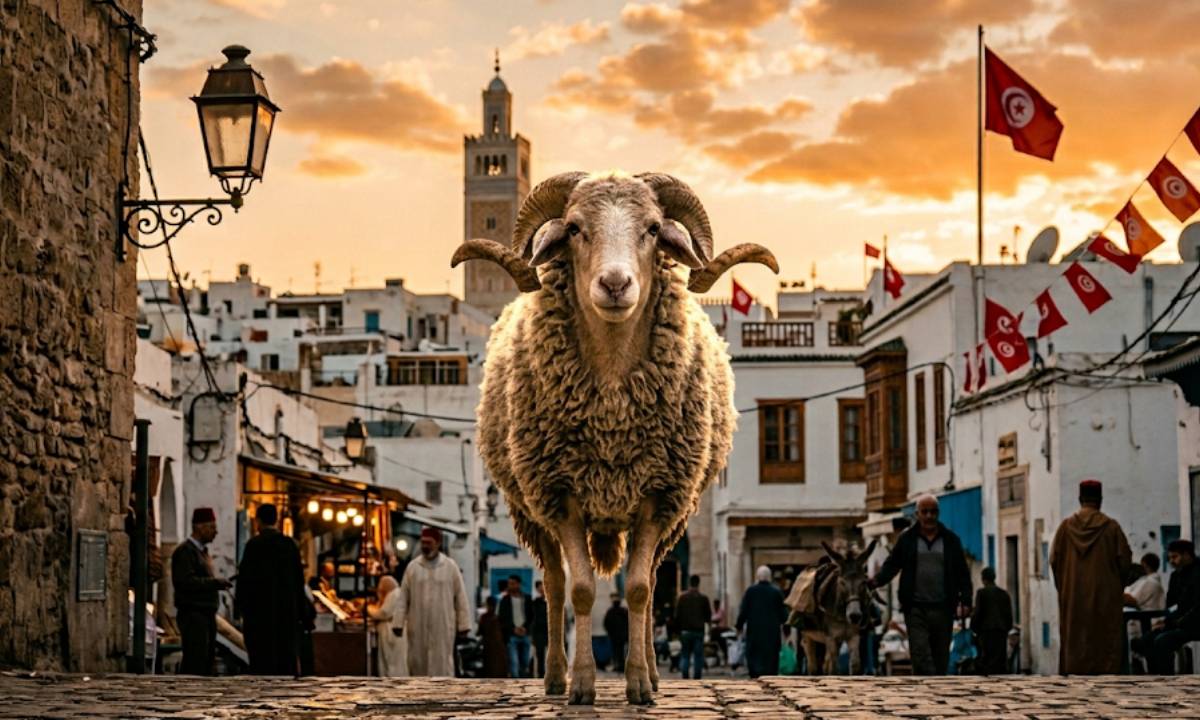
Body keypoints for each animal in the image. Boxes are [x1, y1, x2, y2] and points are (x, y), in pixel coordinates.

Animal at [451, 172, 776, 705]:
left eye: (653, 229)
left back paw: (654, 672)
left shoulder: (658, 498)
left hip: (675, 517)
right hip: (528, 510)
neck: (611, 411)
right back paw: (555, 677)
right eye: (575, 228)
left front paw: (640, 684)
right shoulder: (560, 496)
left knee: (655, 580)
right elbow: (581, 590)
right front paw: (583, 685)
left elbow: (642, 588)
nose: (616, 284)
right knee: (553, 584)